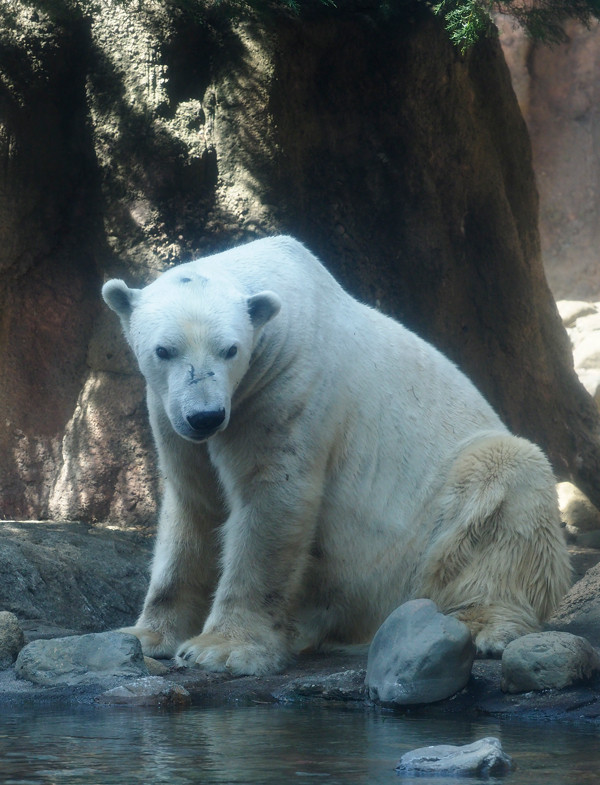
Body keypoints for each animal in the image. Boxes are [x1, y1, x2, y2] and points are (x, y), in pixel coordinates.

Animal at [103, 233, 572, 672]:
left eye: (230, 349)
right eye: (164, 350)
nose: (205, 416)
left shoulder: (289, 385)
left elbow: (272, 498)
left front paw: (221, 649)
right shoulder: (170, 412)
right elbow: (193, 505)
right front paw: (146, 635)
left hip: (424, 540)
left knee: (508, 484)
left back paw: (482, 623)